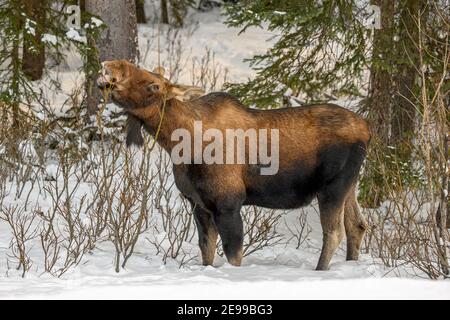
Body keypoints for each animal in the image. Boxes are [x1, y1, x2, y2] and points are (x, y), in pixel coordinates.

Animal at [97, 59, 370, 270]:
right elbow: (207, 251)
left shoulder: (228, 203)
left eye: (153, 85)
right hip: (350, 185)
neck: (178, 144)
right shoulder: (198, 203)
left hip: (332, 187)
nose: (110, 66)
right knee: (357, 225)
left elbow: (232, 255)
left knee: (334, 232)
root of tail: (368, 130)